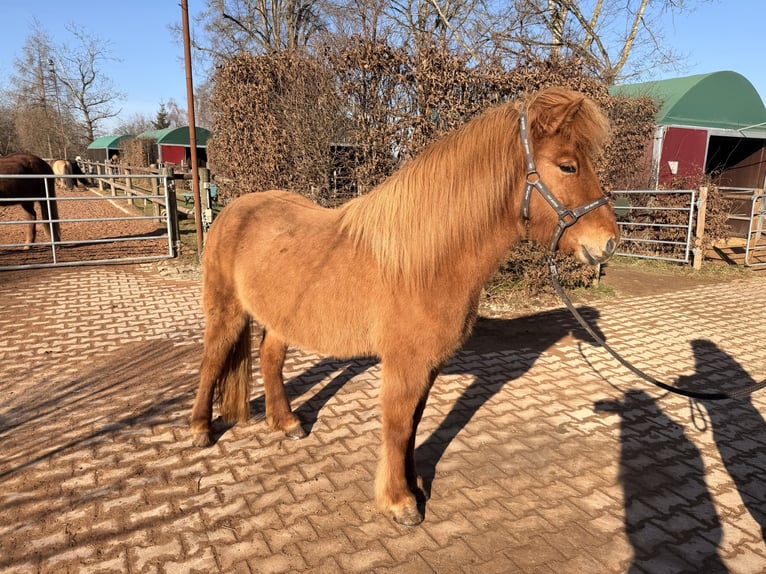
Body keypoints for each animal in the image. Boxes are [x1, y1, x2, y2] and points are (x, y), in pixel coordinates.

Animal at [190, 87, 619, 526]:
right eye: (567, 166)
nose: (608, 242)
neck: (423, 263)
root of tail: (232, 209)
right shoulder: (404, 363)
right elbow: (397, 426)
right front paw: (400, 502)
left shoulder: (429, 364)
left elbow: (413, 424)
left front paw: (416, 487)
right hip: (225, 311)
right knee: (212, 361)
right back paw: (201, 430)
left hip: (282, 318)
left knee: (270, 358)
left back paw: (287, 422)